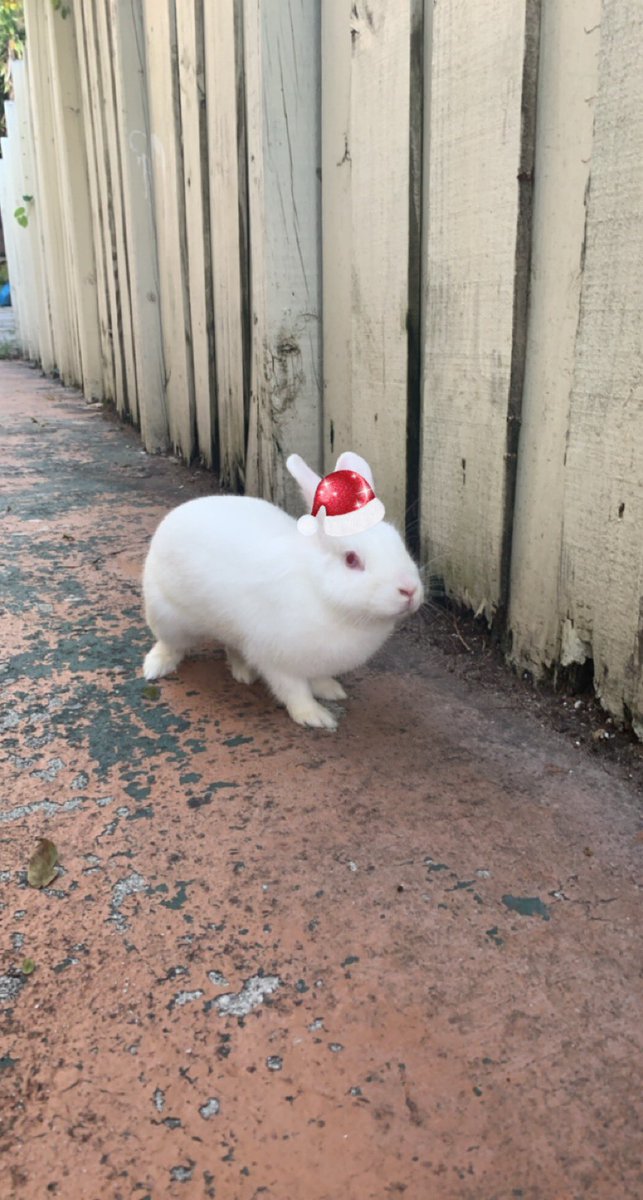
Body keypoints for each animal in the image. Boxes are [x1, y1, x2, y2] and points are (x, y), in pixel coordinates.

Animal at [141, 451, 424, 730]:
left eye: (398, 542)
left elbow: (317, 679)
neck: (321, 592)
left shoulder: (314, 661)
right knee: (170, 645)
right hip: (167, 617)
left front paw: (331, 690)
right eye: (351, 559)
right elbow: (294, 691)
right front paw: (314, 716)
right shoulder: (277, 660)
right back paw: (155, 667)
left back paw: (243, 672)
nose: (409, 590)